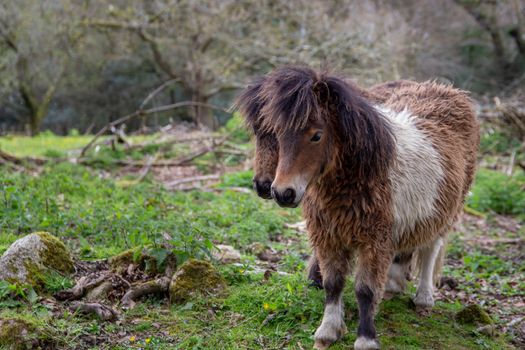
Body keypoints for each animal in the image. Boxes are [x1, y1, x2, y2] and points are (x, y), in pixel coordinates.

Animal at [235, 66, 476, 350]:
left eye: (317, 135)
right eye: (277, 133)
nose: (279, 191)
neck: (364, 173)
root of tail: (449, 91)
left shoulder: (374, 242)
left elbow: (365, 290)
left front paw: (366, 338)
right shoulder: (329, 236)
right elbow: (333, 283)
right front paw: (328, 331)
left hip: (445, 212)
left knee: (430, 249)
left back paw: (424, 298)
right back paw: (393, 285)